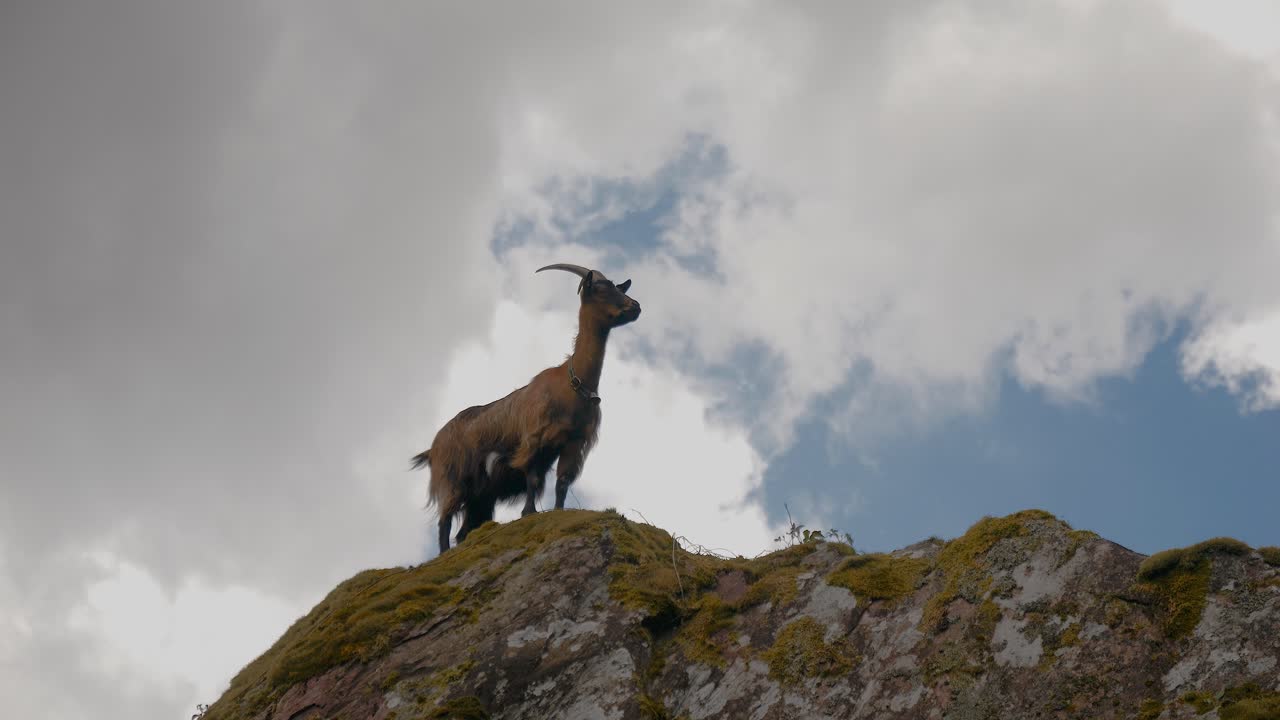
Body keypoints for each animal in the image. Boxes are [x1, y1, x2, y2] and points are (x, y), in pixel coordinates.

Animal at [412, 263, 641, 552]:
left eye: (616, 286)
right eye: (600, 289)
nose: (635, 306)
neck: (571, 385)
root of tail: (431, 449)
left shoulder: (574, 443)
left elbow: (562, 483)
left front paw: (558, 511)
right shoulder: (535, 439)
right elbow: (531, 477)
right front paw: (529, 512)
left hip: (480, 497)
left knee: (463, 530)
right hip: (451, 478)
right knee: (444, 521)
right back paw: (443, 553)